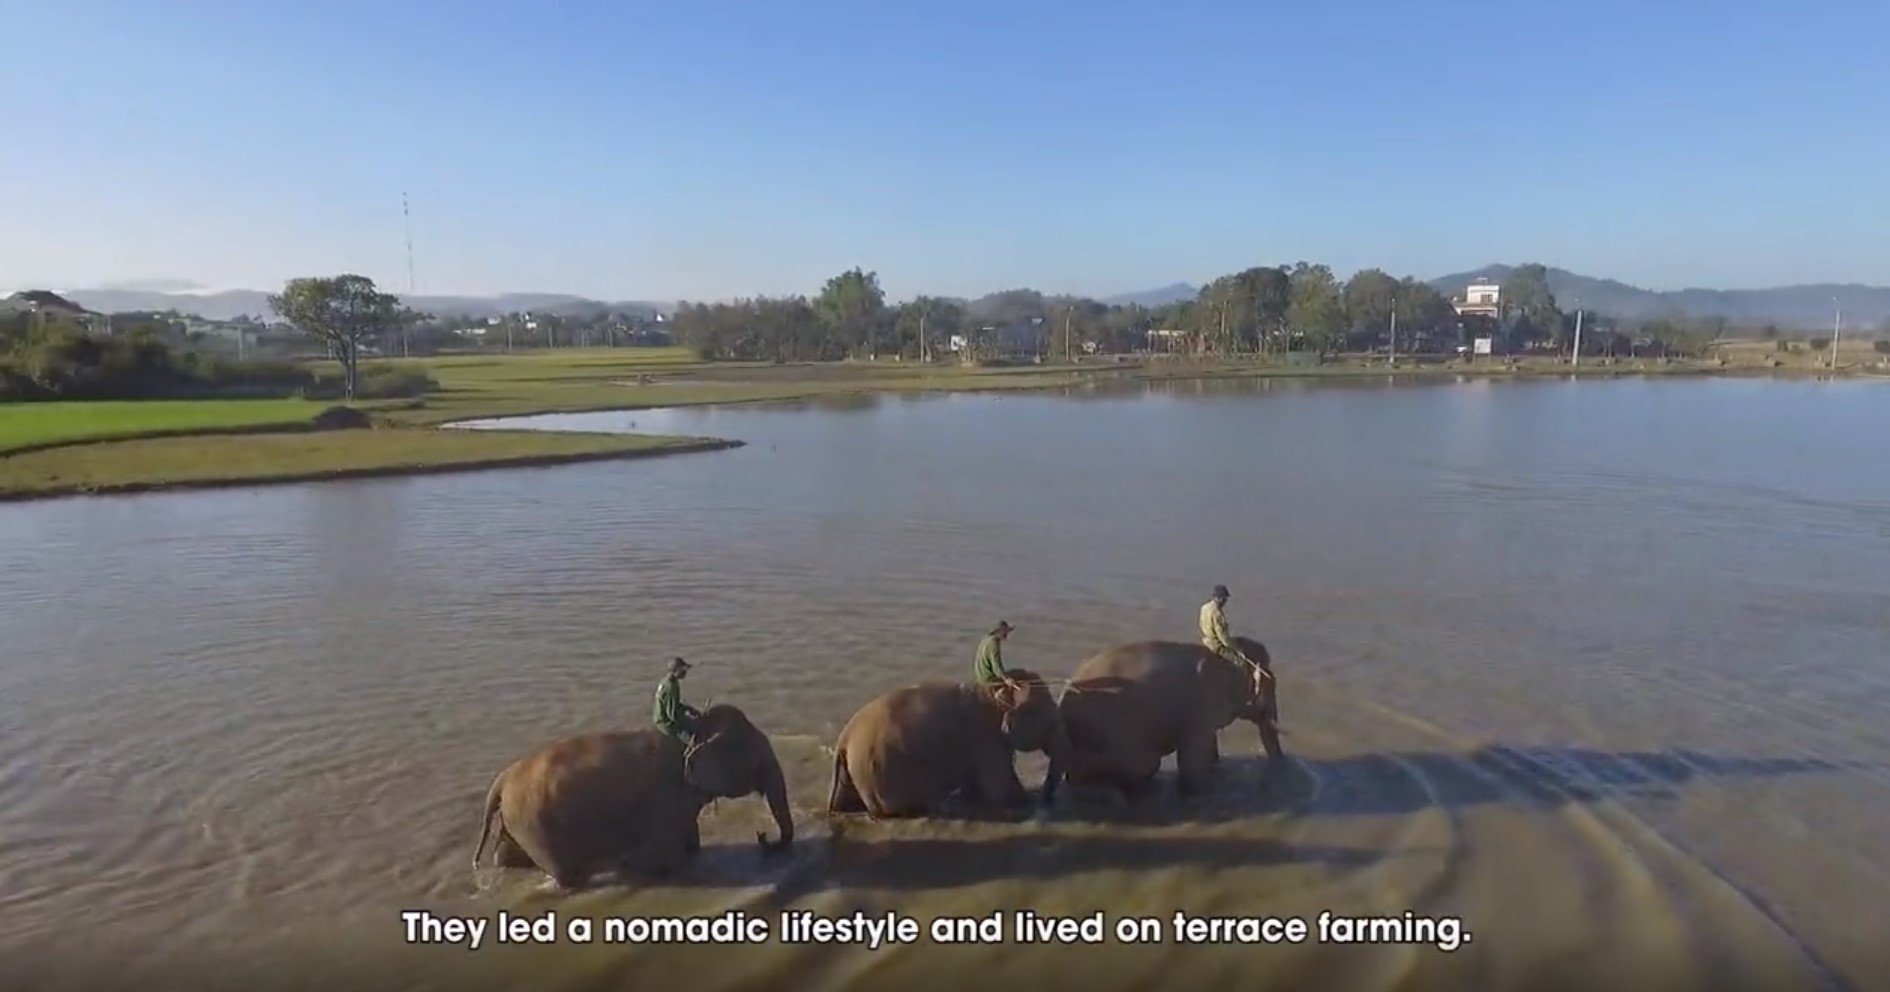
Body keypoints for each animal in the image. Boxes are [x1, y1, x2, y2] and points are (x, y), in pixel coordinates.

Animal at [480, 699, 797, 884]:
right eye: (757, 763)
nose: (762, 836)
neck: (694, 733)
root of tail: (502, 780)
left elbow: (690, 842)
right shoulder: (662, 801)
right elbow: (664, 858)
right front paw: (634, 864)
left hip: (518, 821)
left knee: (505, 856)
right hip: (535, 826)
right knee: (565, 874)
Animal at [835, 668, 1073, 816]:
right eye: (1047, 716)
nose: (1044, 800)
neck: (992, 690)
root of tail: (844, 739)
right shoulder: (985, 740)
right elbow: (1002, 792)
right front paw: (1026, 800)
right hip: (878, 769)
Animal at [1035, 634, 1285, 804]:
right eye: (1270, 682)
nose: (1280, 764)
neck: (1226, 657)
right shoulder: (1200, 704)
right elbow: (1192, 758)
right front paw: (1199, 791)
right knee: (1140, 767)